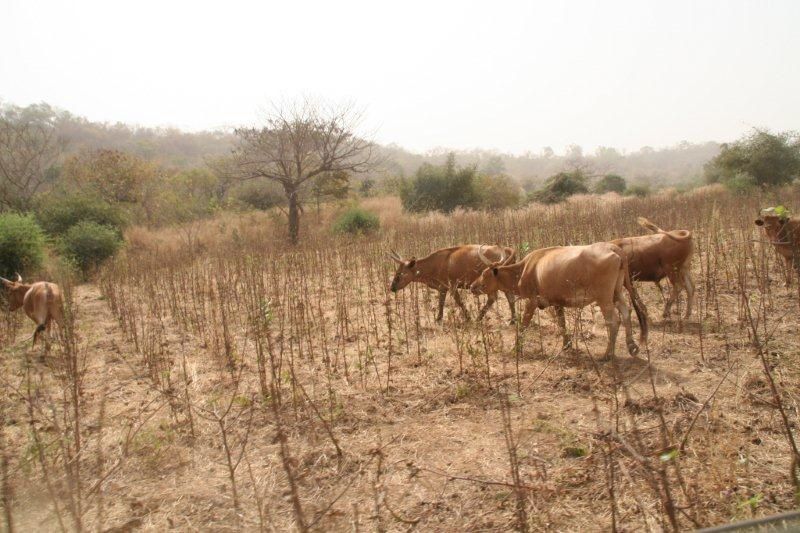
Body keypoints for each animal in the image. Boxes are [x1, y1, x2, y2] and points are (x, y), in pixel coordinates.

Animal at [390, 244, 520, 320]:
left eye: (399, 273)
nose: (392, 288)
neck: (435, 263)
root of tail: (506, 250)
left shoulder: (452, 286)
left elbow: (459, 301)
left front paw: (467, 317)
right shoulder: (443, 287)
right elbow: (441, 302)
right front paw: (439, 318)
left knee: (492, 298)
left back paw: (479, 318)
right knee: (510, 298)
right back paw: (513, 320)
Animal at [468, 243, 648, 360]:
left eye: (484, 274)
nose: (472, 286)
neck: (525, 269)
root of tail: (613, 247)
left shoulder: (531, 301)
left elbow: (524, 325)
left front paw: (516, 348)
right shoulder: (557, 302)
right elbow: (562, 323)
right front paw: (566, 344)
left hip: (604, 298)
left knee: (614, 321)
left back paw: (607, 354)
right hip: (617, 293)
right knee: (626, 313)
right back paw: (631, 346)